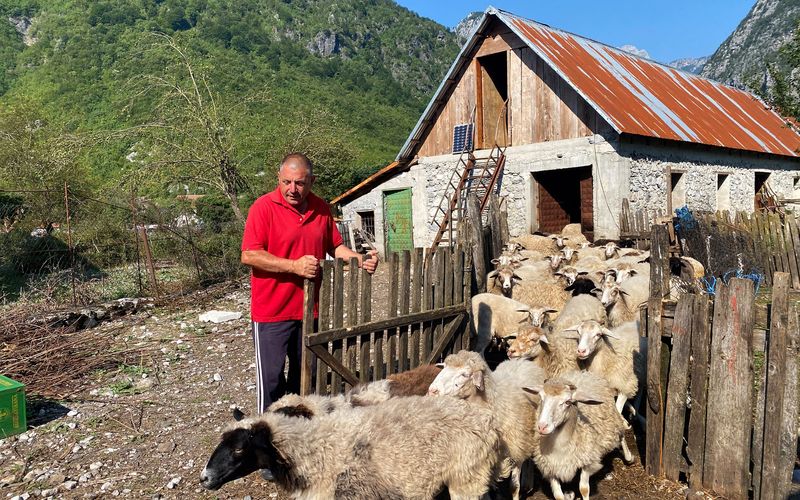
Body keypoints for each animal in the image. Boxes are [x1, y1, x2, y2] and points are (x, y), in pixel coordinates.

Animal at [428, 352, 548, 500]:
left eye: (464, 374)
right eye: (444, 367)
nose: (432, 390)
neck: (494, 402)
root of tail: (524, 362)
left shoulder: (516, 446)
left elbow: (514, 486)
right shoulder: (485, 456)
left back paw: (528, 482)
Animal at [524, 372, 632, 500]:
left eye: (568, 402)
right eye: (541, 397)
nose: (542, 426)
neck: (560, 448)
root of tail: (583, 373)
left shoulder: (587, 461)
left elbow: (584, 489)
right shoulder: (550, 467)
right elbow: (558, 495)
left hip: (613, 424)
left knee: (622, 433)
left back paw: (629, 457)